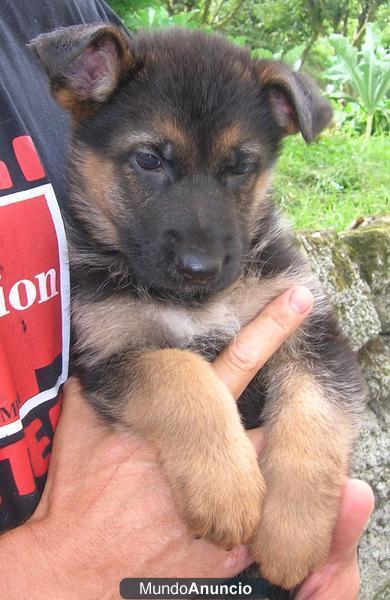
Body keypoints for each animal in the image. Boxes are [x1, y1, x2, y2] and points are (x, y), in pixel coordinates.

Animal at [31, 24, 366, 592]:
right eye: (149, 160)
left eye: (241, 166)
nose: (200, 268)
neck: (197, 303)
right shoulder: (109, 354)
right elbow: (182, 373)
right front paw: (227, 488)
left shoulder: (309, 324)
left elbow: (314, 419)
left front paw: (291, 537)